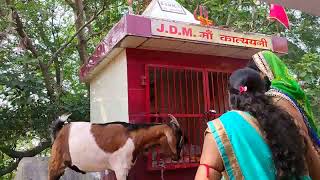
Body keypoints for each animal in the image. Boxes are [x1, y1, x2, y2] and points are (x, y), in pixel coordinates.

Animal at [46, 114, 184, 180]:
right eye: (179, 138)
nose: (178, 157)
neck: (133, 134)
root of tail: (61, 129)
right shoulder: (120, 168)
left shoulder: (124, 168)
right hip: (55, 165)